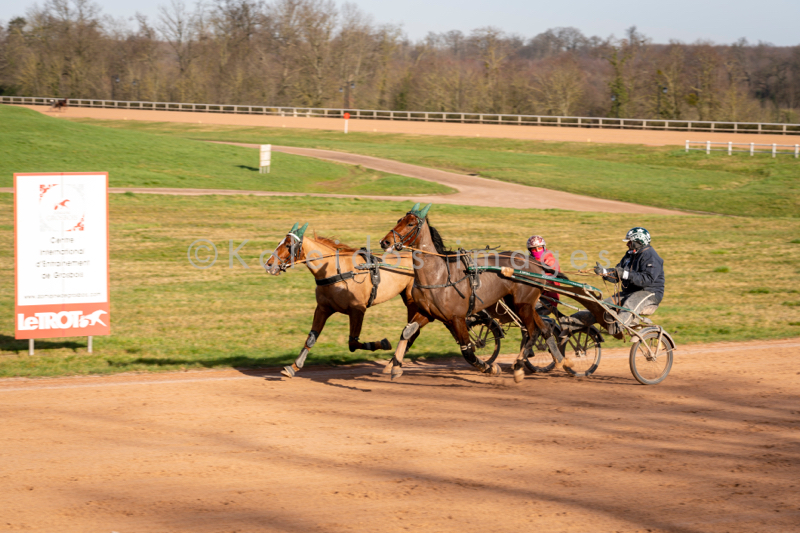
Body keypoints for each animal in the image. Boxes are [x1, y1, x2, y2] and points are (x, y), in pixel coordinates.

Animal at [264, 222, 424, 376]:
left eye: (288, 245)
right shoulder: (323, 308)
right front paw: (294, 366)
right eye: (279, 242)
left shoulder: (357, 310)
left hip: (412, 301)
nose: (269, 264)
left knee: (412, 330)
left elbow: (352, 343)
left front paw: (383, 343)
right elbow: (311, 338)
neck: (335, 271)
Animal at [378, 202, 616, 380]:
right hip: (521, 304)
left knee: (533, 332)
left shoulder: (457, 318)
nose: (385, 241)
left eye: (410, 223)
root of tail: (535, 265)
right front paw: (395, 366)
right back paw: (561, 360)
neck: (439, 274)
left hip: (523, 305)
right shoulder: (429, 313)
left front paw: (490, 367)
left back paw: (519, 367)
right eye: (398, 220)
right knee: (545, 329)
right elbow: (407, 332)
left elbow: (468, 351)